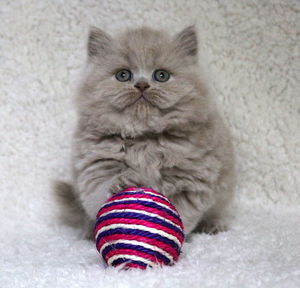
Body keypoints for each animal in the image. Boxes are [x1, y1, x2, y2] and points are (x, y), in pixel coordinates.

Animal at [55, 25, 236, 238]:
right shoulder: (95, 166)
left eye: (161, 75)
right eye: (123, 75)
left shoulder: (190, 181)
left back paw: (213, 226)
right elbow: (99, 194)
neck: (144, 137)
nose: (142, 85)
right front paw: (124, 182)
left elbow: (182, 213)